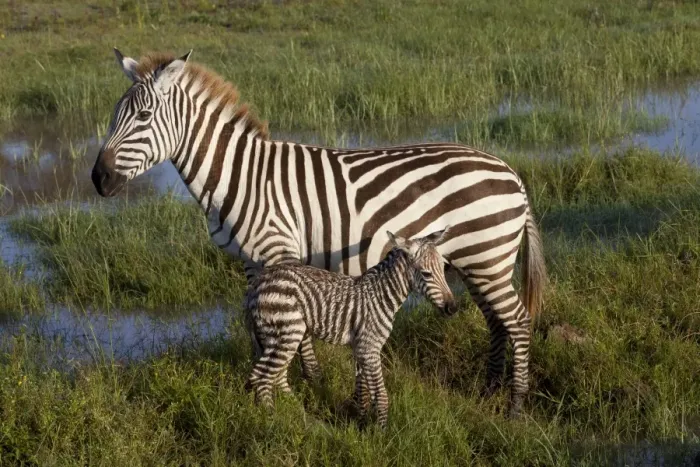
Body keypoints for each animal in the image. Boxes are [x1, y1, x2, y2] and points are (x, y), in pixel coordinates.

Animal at [245, 228, 454, 428]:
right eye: (426, 274)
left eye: (444, 268)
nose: (453, 308)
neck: (382, 297)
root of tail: (259, 282)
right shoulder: (369, 348)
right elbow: (381, 395)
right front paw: (381, 432)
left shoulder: (360, 348)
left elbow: (363, 390)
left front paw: (361, 422)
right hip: (288, 332)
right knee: (262, 377)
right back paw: (273, 419)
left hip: (276, 336)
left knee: (275, 376)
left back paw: (299, 414)